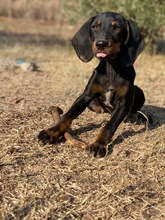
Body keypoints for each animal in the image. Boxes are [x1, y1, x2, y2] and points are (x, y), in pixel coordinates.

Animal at [37, 12, 144, 157]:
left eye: (117, 27)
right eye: (94, 26)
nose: (101, 43)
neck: (111, 69)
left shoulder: (123, 104)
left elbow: (108, 126)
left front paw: (98, 144)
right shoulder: (86, 96)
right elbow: (66, 116)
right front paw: (51, 132)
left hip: (139, 93)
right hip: (93, 104)